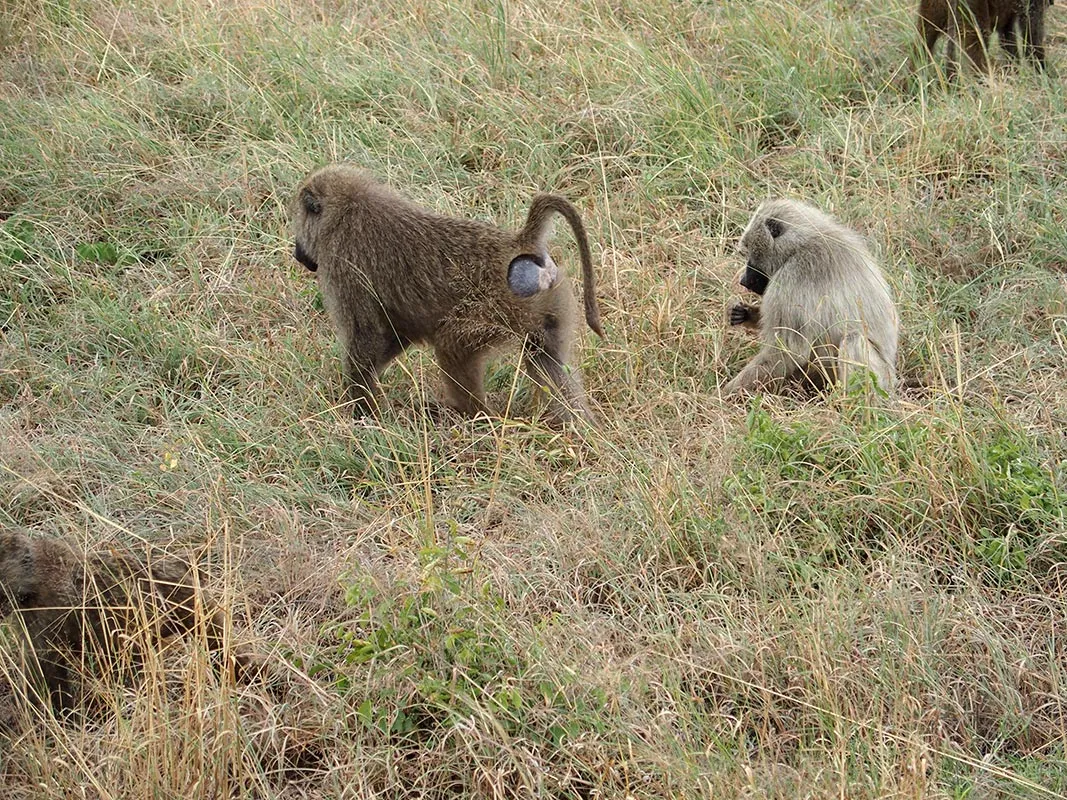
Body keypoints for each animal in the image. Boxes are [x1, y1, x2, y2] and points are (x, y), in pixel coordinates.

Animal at [291, 164, 603, 424]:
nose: (297, 254)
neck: (347, 210)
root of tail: (520, 242)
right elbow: (395, 333)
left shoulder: (342, 265)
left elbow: (366, 333)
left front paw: (360, 411)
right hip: (549, 303)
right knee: (547, 360)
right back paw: (584, 429)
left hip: (494, 313)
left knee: (451, 346)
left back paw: (469, 414)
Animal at [723, 199, 899, 398]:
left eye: (749, 253)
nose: (743, 280)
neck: (799, 246)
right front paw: (745, 313)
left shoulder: (793, 276)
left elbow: (788, 353)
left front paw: (724, 394)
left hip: (881, 380)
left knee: (853, 340)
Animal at [916, 0, 1051, 76]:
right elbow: (1031, 40)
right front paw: (1044, 76)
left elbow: (1009, 41)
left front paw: (1014, 72)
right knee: (979, 53)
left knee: (923, 41)